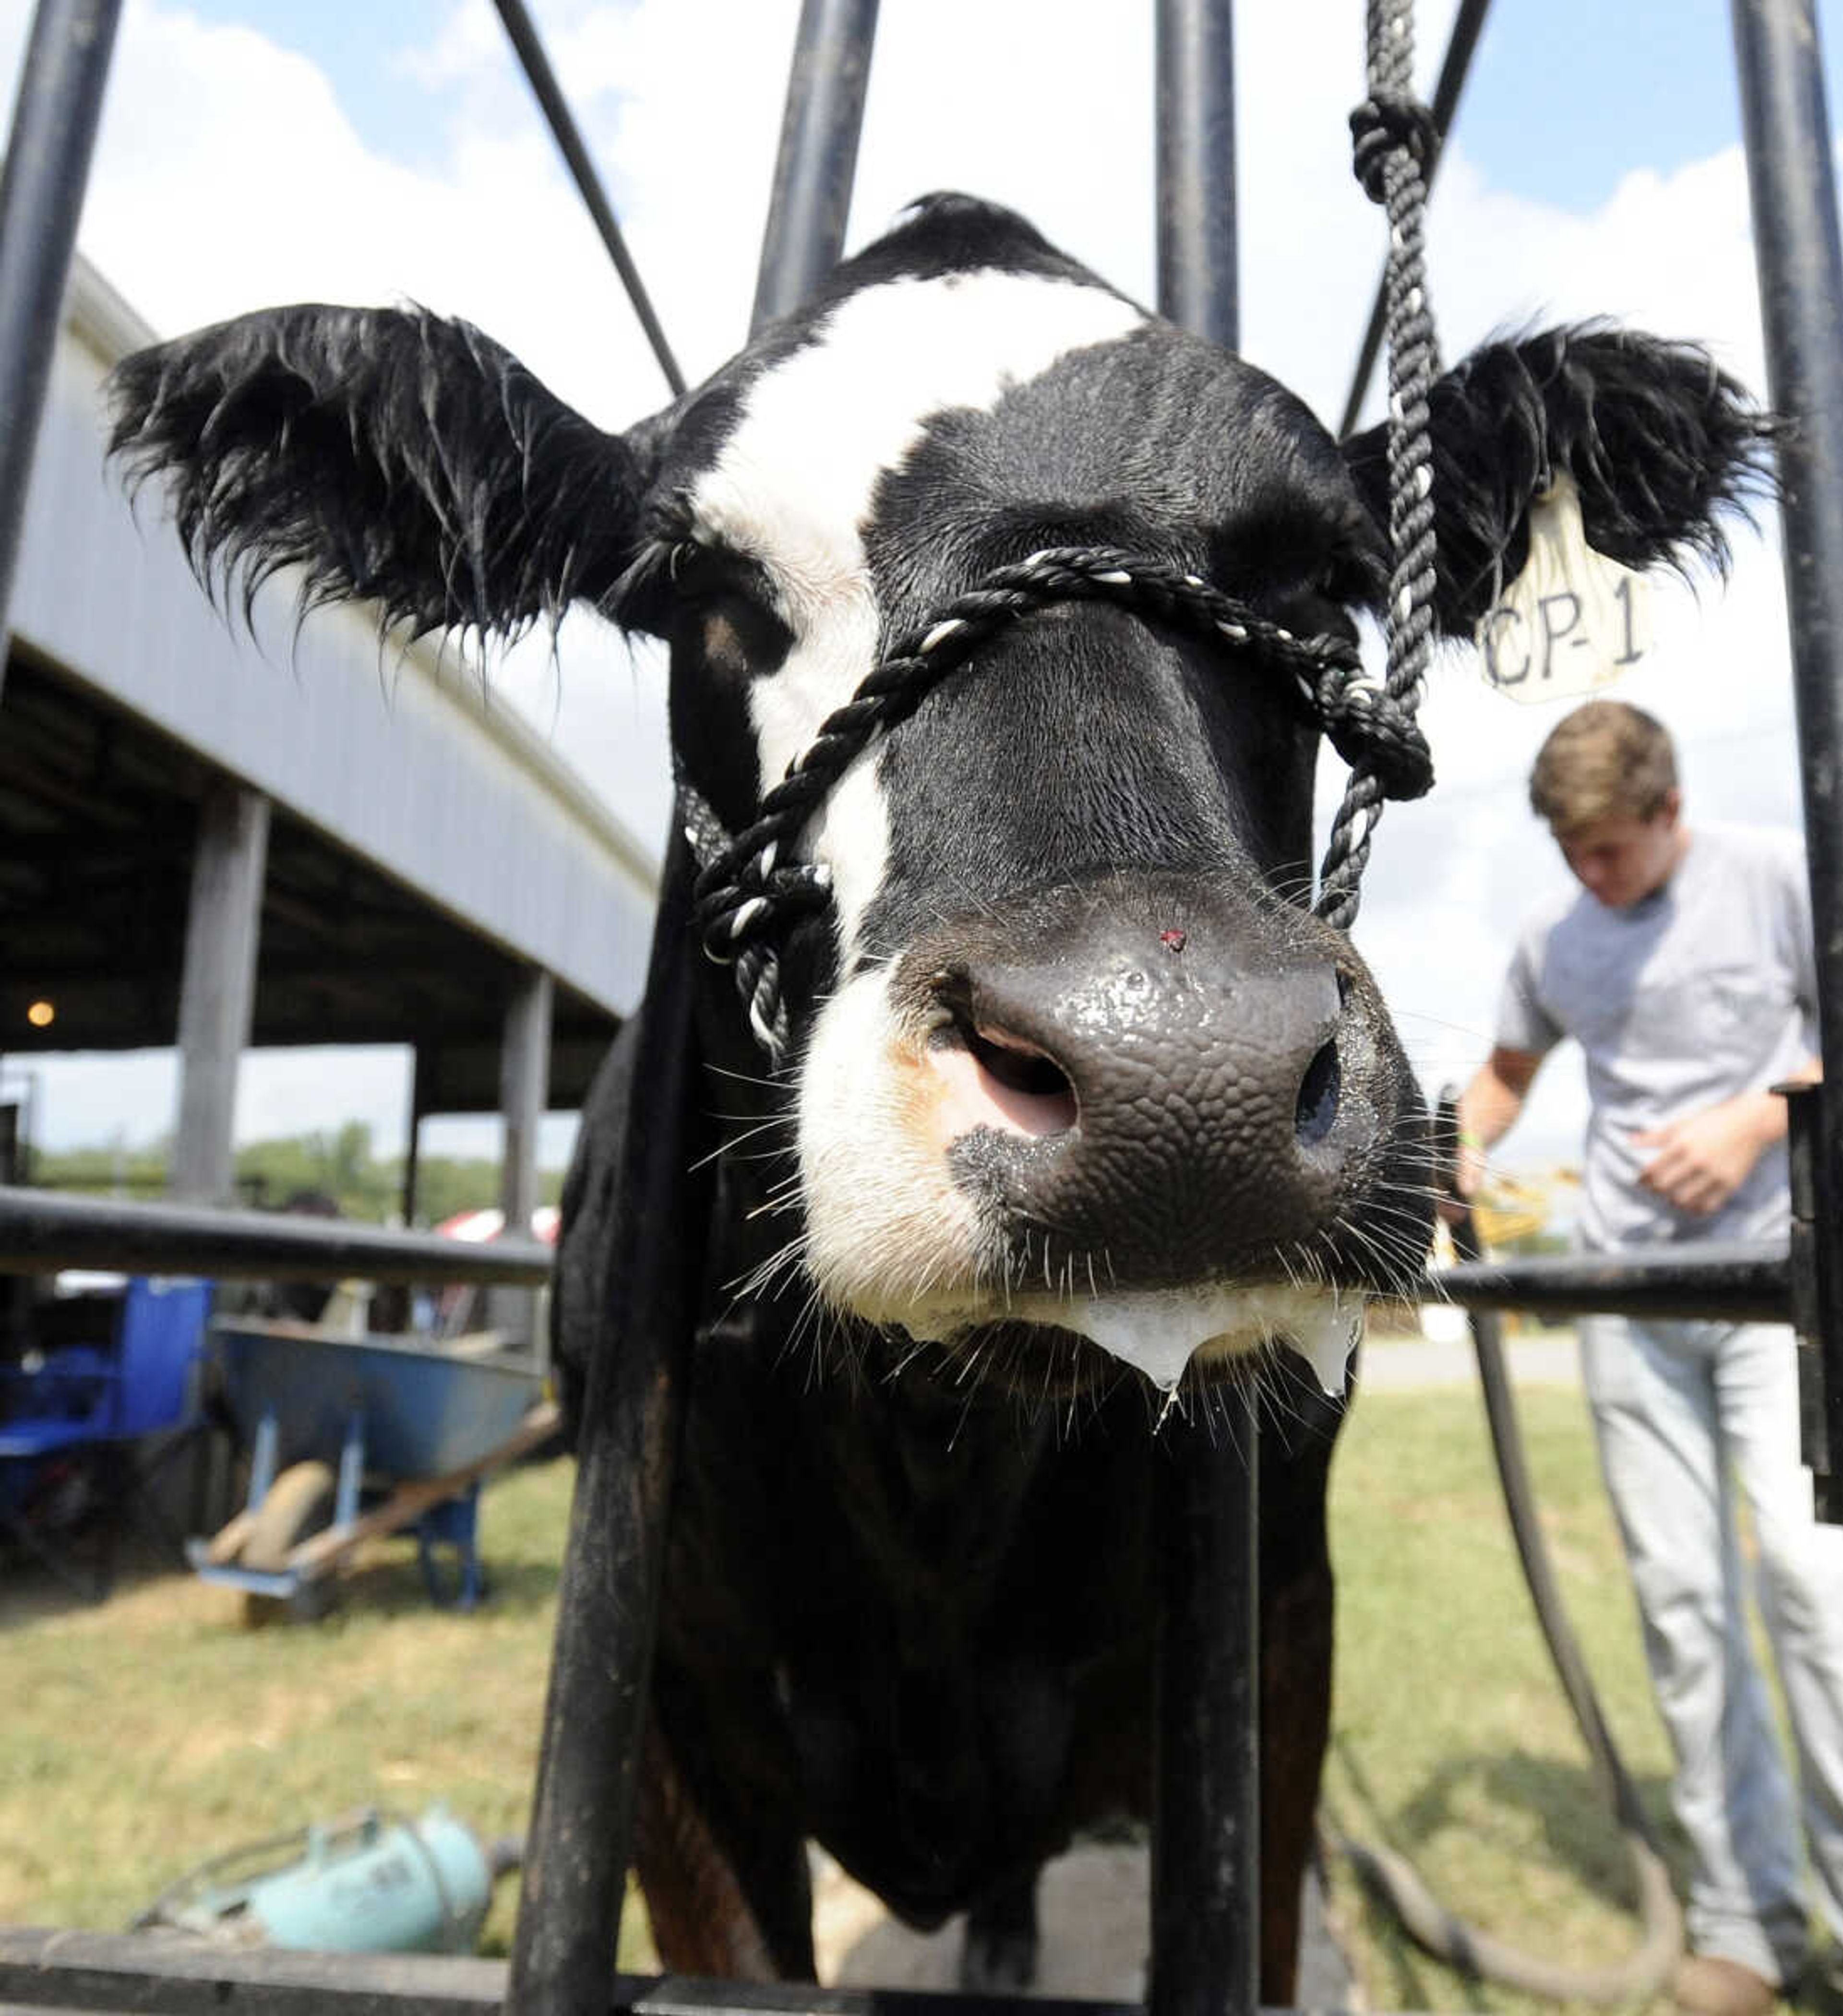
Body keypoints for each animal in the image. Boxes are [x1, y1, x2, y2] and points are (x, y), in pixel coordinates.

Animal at [104, 192, 1766, 2000]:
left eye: (1323, 576)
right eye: (696, 588)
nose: (1179, 1073)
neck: (935, 1472)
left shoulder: (1274, 1669)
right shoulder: (668, 1721)